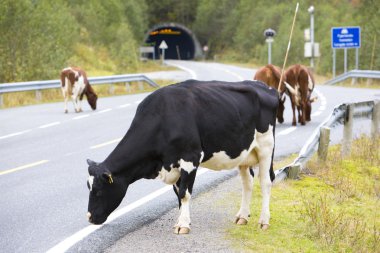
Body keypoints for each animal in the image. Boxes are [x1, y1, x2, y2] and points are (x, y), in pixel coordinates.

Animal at [86, 80, 278, 234]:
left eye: (98, 190)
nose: (89, 217)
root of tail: (264, 86)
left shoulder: (190, 158)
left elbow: (185, 193)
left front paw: (183, 225)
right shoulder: (174, 165)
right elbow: (178, 194)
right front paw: (182, 221)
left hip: (266, 147)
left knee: (266, 182)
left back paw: (264, 221)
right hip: (244, 153)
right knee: (248, 183)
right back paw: (243, 217)